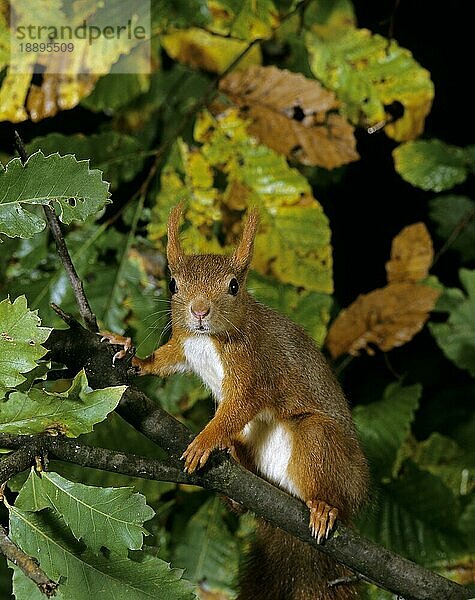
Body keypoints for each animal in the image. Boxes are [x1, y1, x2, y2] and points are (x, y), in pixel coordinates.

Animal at [106, 204, 370, 596]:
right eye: (174, 284)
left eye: (234, 285)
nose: (199, 311)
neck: (206, 339)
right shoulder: (183, 344)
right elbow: (164, 362)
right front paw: (130, 354)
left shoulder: (253, 367)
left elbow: (241, 405)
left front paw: (204, 441)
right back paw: (233, 473)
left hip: (325, 448)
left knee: (322, 460)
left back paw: (324, 506)